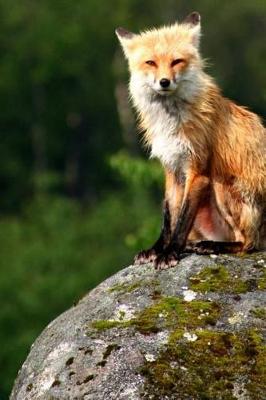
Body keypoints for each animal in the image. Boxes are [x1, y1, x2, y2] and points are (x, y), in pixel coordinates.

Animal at [116, 12, 266, 270]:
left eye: (177, 61)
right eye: (150, 63)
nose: (164, 82)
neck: (171, 123)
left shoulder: (198, 170)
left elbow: (182, 220)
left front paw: (169, 253)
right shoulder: (172, 168)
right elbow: (168, 218)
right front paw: (157, 249)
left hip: (221, 184)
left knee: (248, 243)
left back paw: (213, 246)